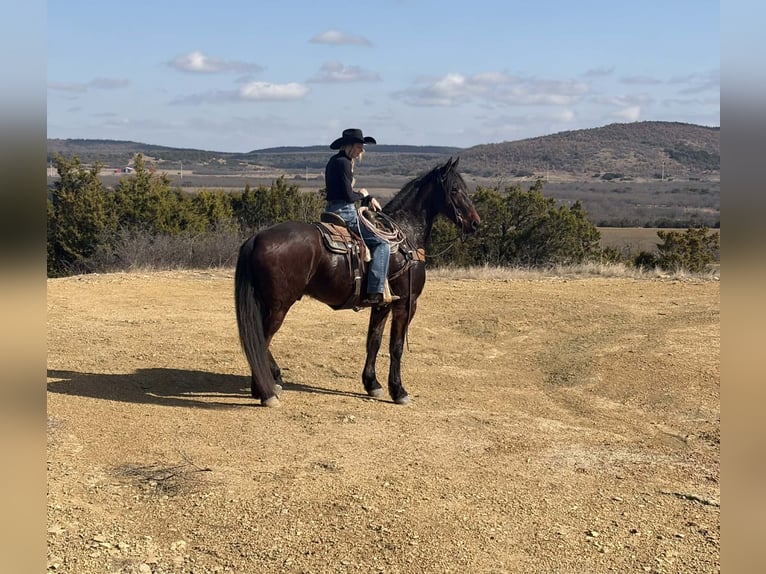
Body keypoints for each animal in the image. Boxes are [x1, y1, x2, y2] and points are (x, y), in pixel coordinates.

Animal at [234, 157, 480, 407]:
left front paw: (373, 384)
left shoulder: (383, 304)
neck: (406, 236)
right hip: (279, 305)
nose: (475, 223)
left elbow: (374, 341)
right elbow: (396, 346)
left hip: (267, 303)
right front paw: (399, 391)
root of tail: (257, 238)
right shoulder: (406, 303)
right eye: (454, 189)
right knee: (261, 340)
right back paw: (267, 392)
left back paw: (269, 382)